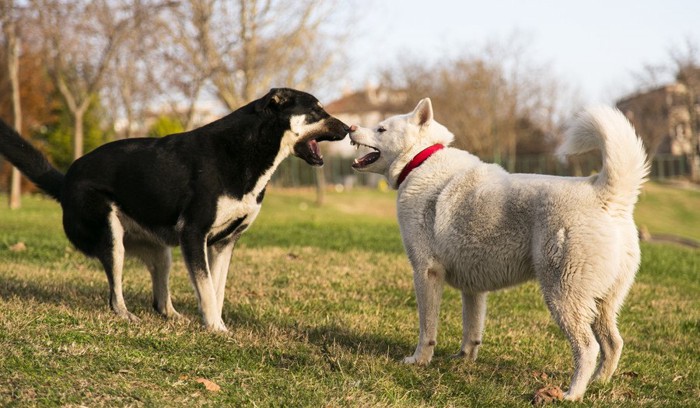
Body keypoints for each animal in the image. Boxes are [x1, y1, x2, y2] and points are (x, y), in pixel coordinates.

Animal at [0, 87, 350, 330]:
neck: (251, 148)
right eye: (316, 110)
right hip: (112, 238)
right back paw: (127, 315)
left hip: (162, 252)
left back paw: (174, 317)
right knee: (115, 295)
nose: (348, 128)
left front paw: (216, 323)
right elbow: (206, 289)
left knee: (159, 300)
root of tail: (65, 181)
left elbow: (216, 289)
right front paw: (217, 329)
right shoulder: (194, 235)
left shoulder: (224, 243)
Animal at [350, 99, 652, 402]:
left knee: (589, 348)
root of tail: (606, 195)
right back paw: (599, 384)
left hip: (564, 297)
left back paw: (572, 394)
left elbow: (427, 329)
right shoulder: (472, 288)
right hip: (602, 303)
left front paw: (419, 361)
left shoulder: (426, 273)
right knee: (613, 343)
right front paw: (463, 359)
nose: (351, 127)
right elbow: (472, 329)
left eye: (381, 128)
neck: (420, 161)